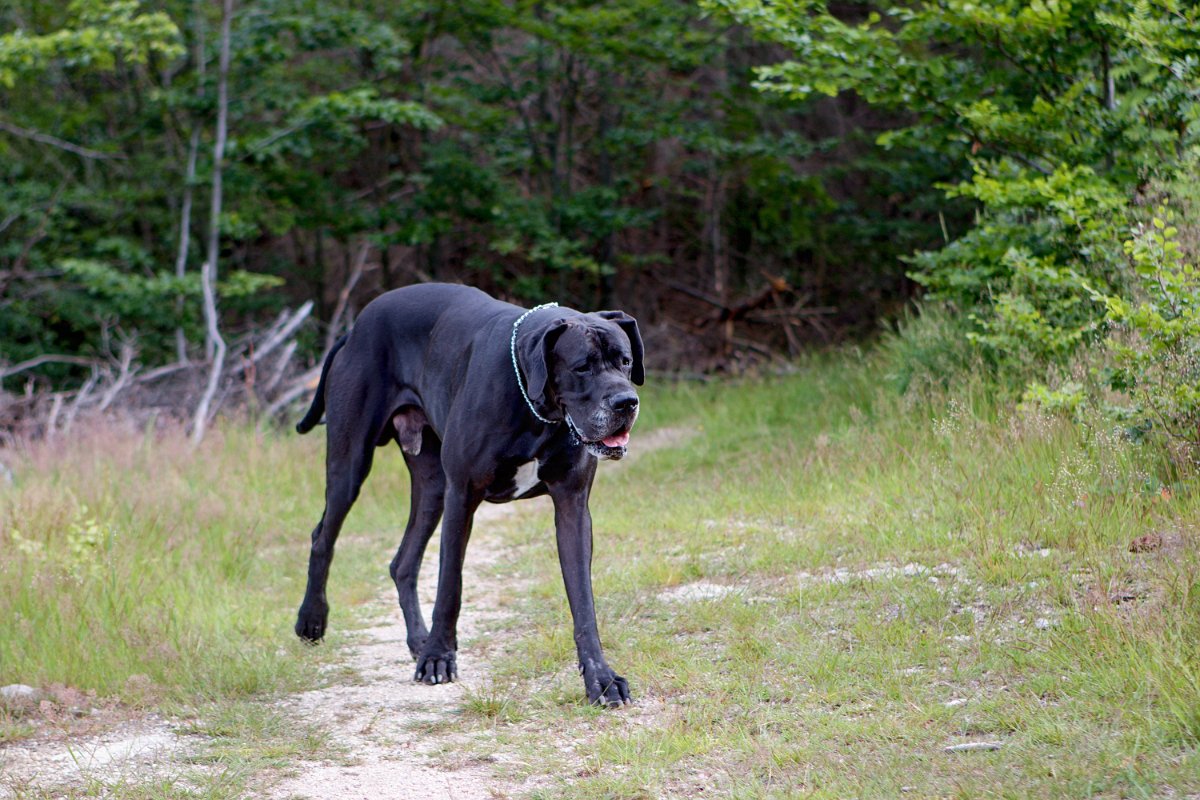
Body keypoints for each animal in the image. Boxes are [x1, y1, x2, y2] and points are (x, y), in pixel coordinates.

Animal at [291, 283, 643, 705]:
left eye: (625, 362)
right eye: (582, 366)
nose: (626, 402)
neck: (534, 405)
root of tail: (355, 328)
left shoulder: (572, 505)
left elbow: (583, 601)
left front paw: (601, 678)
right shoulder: (462, 495)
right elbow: (450, 585)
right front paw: (438, 659)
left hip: (432, 488)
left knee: (403, 562)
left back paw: (418, 639)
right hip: (351, 465)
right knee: (322, 536)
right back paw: (312, 619)